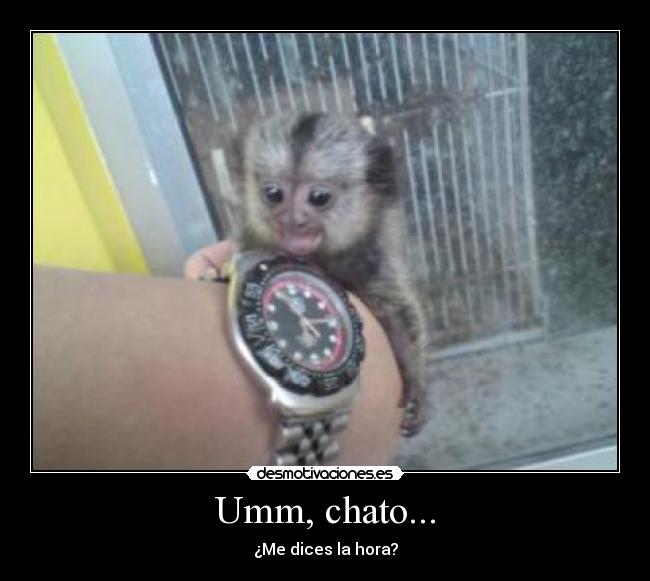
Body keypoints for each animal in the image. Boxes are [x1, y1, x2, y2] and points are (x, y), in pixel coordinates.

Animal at [226, 112, 429, 437]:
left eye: (318, 197)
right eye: (274, 194)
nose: (293, 221)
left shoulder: (376, 259)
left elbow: (399, 314)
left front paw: (417, 384)